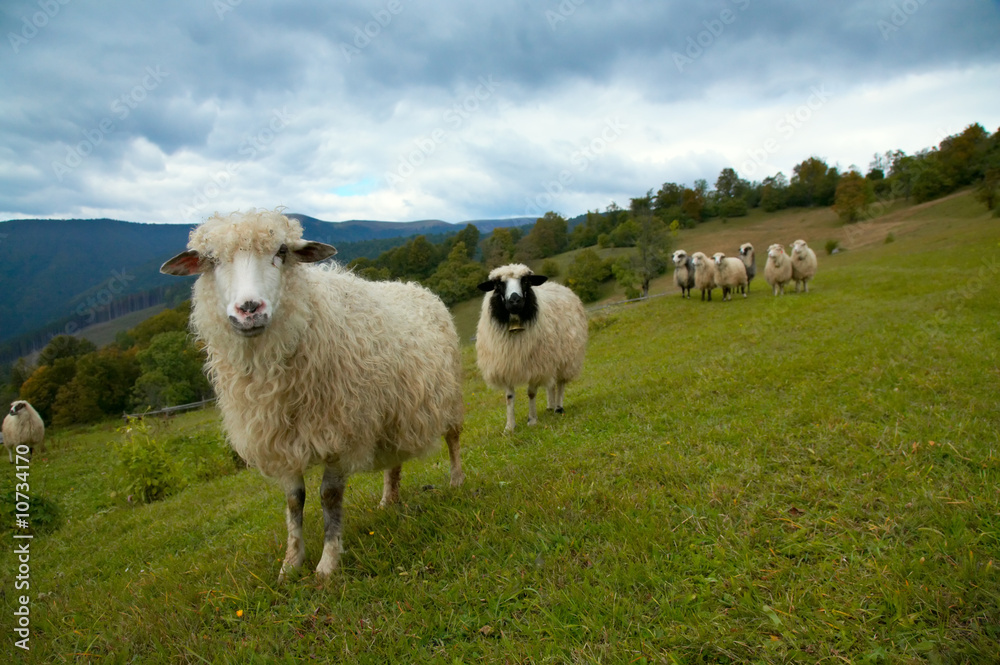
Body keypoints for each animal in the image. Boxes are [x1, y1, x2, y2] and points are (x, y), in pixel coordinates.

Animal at [160, 209, 464, 582]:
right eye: (211, 260)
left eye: (281, 252)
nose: (249, 309)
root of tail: (415, 287)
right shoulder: (282, 439)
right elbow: (295, 501)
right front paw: (290, 565)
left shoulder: (338, 430)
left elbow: (329, 497)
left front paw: (327, 565)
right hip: (392, 410)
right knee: (394, 457)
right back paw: (388, 500)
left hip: (449, 395)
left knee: (453, 438)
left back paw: (456, 480)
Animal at [475, 263, 588, 433]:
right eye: (498, 285)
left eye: (526, 281)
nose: (515, 300)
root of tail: (558, 285)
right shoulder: (506, 364)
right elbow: (509, 397)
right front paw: (509, 426)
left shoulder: (535, 364)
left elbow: (531, 393)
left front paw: (532, 420)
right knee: (551, 384)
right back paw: (550, 406)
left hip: (565, 356)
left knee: (560, 382)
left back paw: (558, 407)